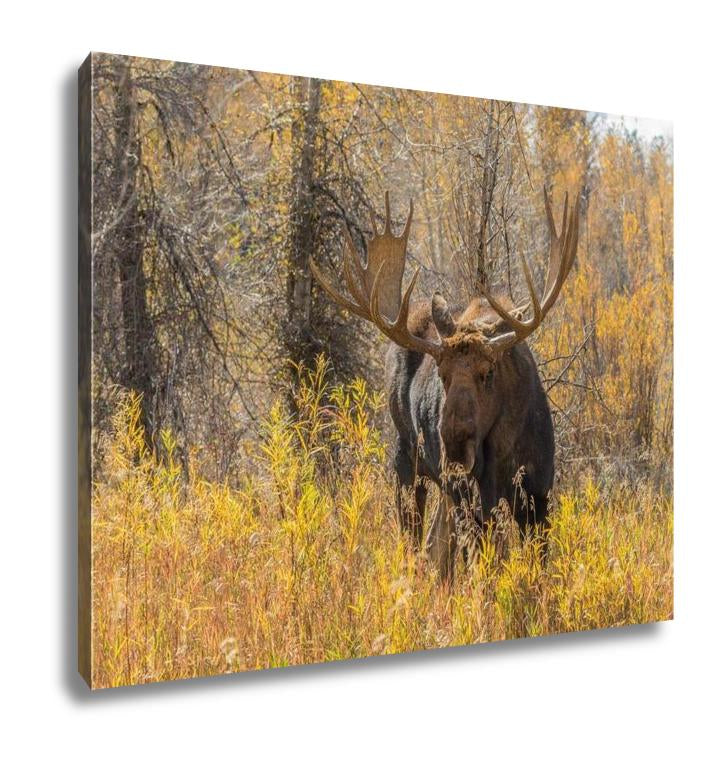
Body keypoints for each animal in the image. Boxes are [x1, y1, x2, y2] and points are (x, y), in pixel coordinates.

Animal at [311, 189, 580, 581]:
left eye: (488, 372)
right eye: (442, 375)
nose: (453, 443)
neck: (504, 448)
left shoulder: (538, 497)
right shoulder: (472, 499)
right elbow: (485, 571)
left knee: (436, 545)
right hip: (409, 463)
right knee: (416, 543)